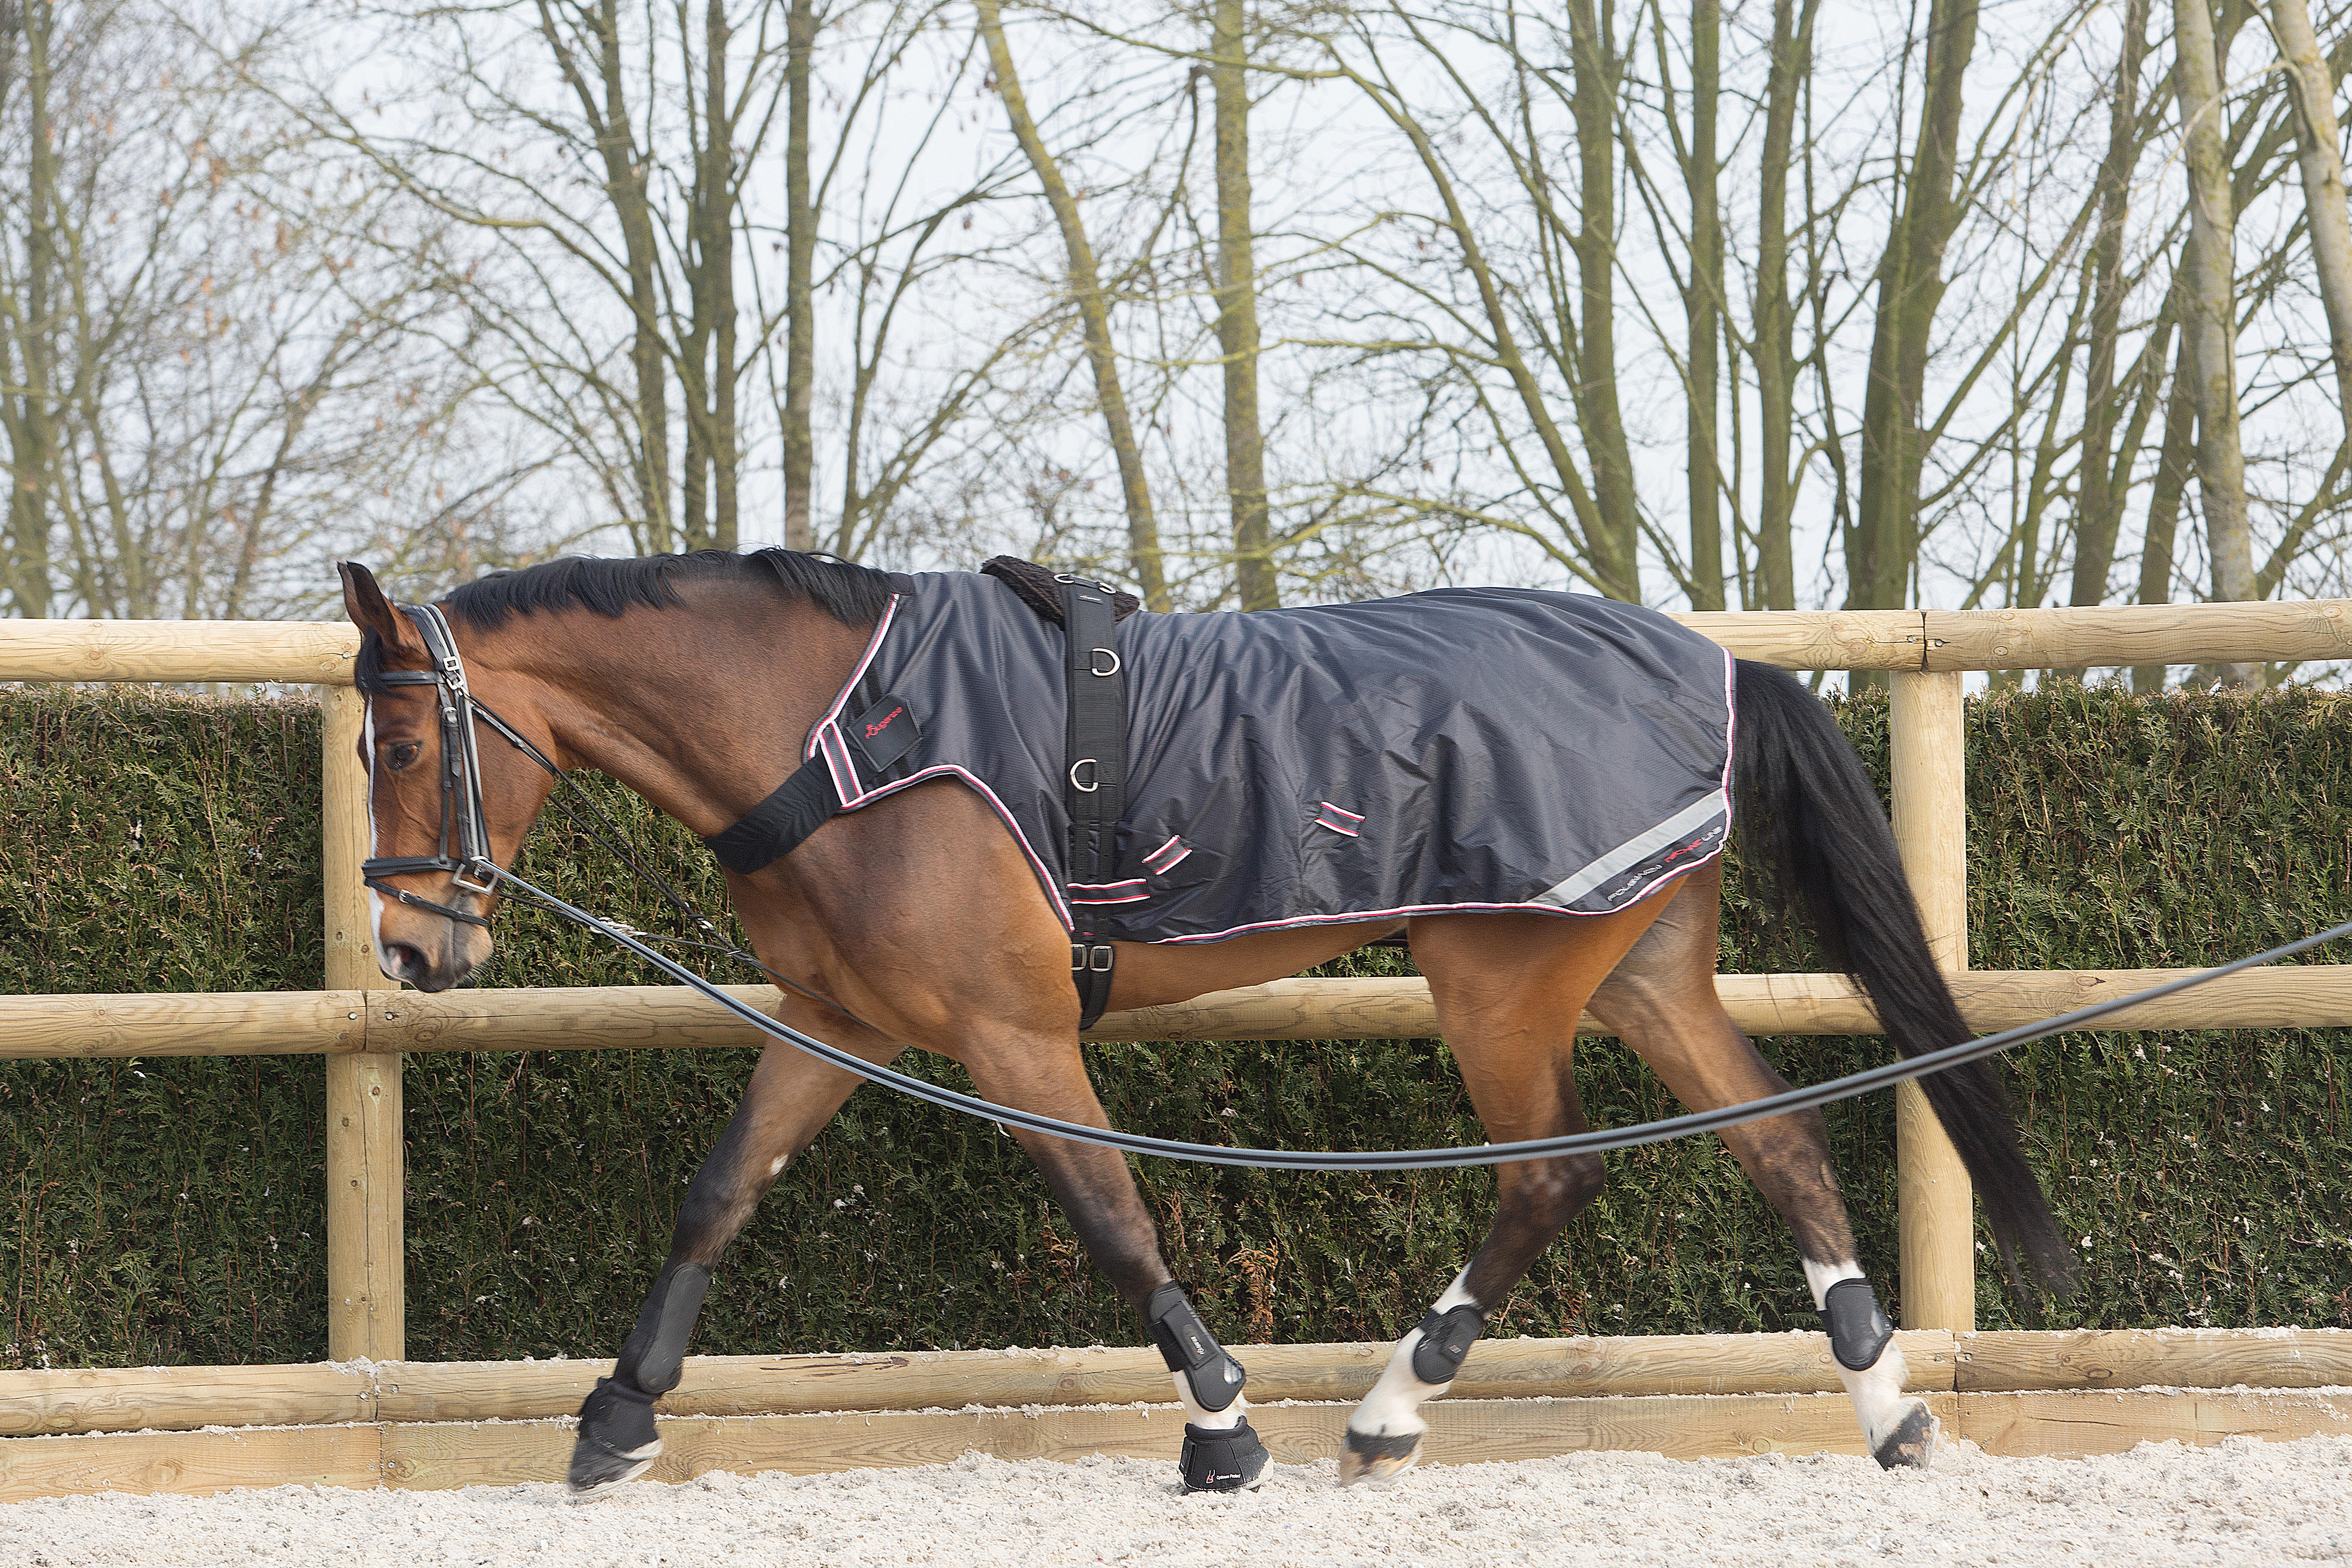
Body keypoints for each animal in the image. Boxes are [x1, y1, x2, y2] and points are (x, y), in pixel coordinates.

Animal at [341, 550, 2069, 1495]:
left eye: (406, 741)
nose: (415, 946)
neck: (843, 737)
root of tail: (1716, 663)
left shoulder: (1013, 1038)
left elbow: (1112, 1219)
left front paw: (1221, 1426)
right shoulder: (842, 1018)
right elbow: (718, 1193)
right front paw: (614, 1421)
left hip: (1501, 983)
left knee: (1551, 1174)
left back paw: (1385, 1412)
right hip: (1638, 967)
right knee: (1776, 1147)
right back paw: (1888, 1414)